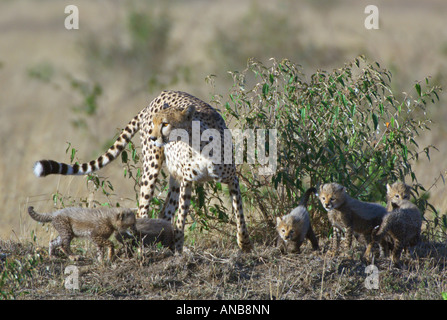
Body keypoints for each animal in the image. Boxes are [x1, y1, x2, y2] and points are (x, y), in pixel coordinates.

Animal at [32, 90, 252, 252]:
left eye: (165, 124)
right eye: (154, 123)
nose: (153, 136)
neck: (198, 143)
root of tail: (157, 96)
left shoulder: (231, 179)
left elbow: (240, 213)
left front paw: (245, 245)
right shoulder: (187, 182)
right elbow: (181, 219)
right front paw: (179, 248)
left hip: (174, 179)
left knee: (164, 212)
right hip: (152, 168)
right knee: (142, 210)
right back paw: (142, 244)